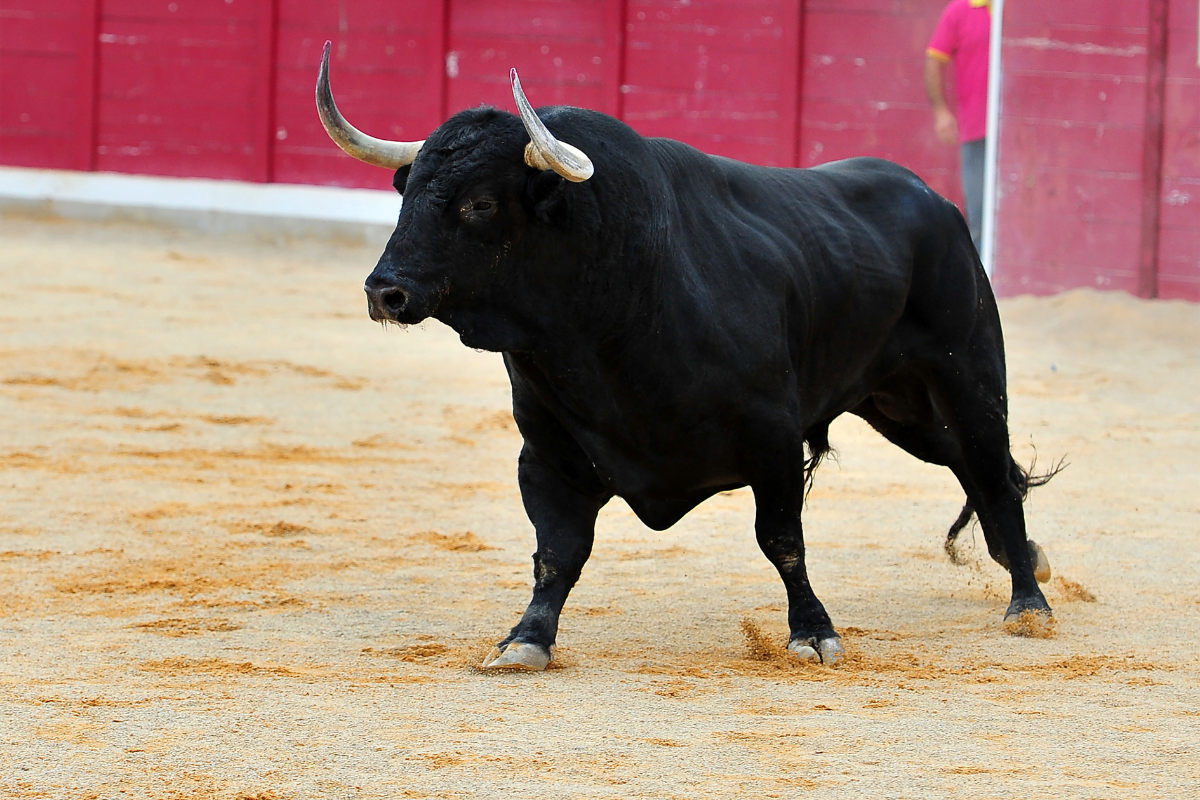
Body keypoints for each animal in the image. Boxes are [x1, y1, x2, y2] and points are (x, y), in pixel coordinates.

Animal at [336, 87, 1051, 671]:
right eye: (407, 194)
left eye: (479, 203)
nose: (384, 291)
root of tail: (935, 200)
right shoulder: (546, 453)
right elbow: (557, 551)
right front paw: (525, 640)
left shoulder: (772, 441)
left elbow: (782, 540)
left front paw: (812, 632)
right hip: (899, 406)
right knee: (974, 465)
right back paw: (1021, 556)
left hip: (969, 375)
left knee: (991, 467)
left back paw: (1029, 603)